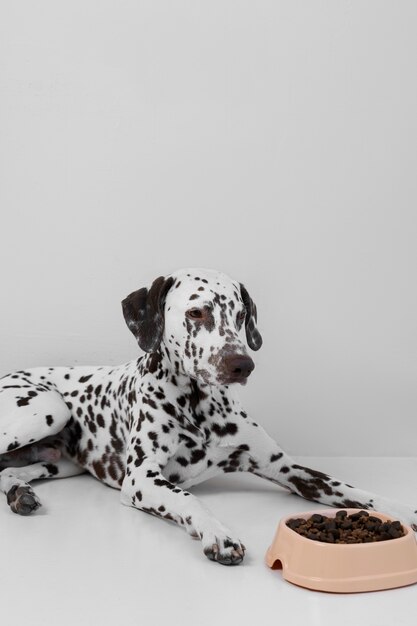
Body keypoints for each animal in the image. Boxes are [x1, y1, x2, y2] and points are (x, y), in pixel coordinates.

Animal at [0, 268, 416, 564]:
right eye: (196, 312)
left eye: (241, 314)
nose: (242, 364)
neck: (199, 406)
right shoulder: (141, 480)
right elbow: (188, 499)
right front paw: (218, 533)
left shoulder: (287, 467)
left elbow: (352, 490)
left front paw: (401, 508)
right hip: (49, 408)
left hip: (59, 462)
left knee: (7, 471)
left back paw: (20, 493)